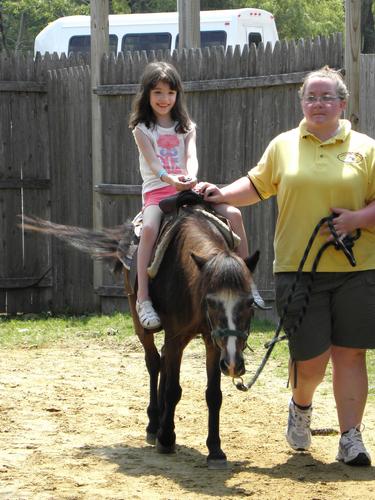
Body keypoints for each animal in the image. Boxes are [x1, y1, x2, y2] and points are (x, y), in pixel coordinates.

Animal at [22, 206, 260, 468]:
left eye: (249, 302)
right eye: (211, 302)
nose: (233, 364)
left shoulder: (213, 342)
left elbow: (213, 395)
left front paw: (215, 450)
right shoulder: (177, 337)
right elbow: (173, 389)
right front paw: (166, 438)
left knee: (164, 361)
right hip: (142, 326)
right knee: (155, 363)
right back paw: (155, 424)